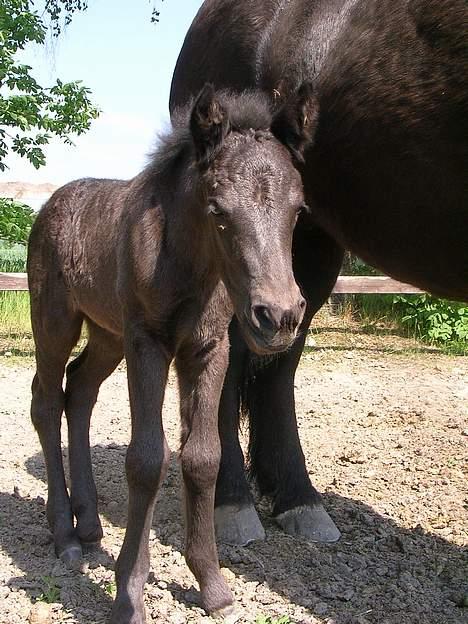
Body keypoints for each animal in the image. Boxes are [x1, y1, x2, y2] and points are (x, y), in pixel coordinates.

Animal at [26, 84, 318, 624]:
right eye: (218, 209)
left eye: (298, 209)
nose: (280, 316)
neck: (189, 267)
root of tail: (53, 201)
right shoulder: (147, 343)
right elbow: (146, 459)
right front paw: (128, 594)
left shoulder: (209, 348)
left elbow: (202, 456)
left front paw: (212, 583)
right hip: (55, 321)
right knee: (47, 400)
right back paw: (65, 534)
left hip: (106, 335)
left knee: (80, 391)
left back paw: (90, 525)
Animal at [170, 0, 468, 544]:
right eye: (218, 209)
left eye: (294, 205)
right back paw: (232, 502)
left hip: (308, 257)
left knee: (278, 364)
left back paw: (297, 500)